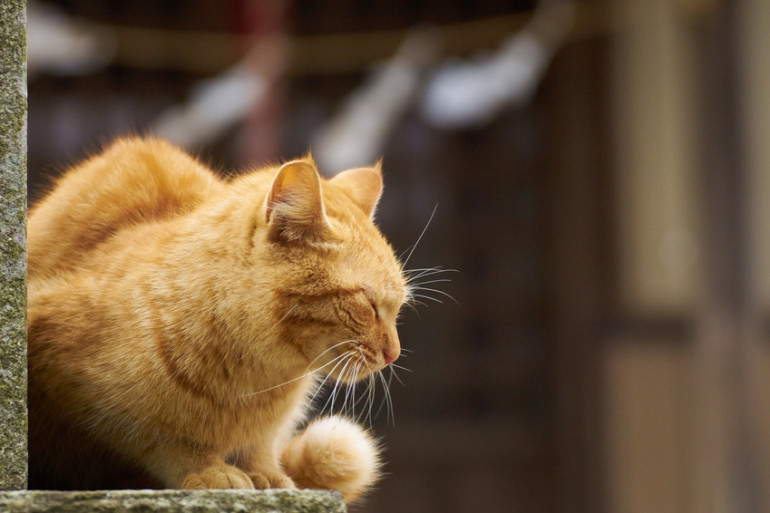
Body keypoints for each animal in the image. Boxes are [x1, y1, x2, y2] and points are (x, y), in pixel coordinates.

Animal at [27, 135, 404, 500]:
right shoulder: (66, 377)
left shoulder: (266, 429)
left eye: (398, 307)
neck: (256, 379)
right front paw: (207, 468)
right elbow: (162, 437)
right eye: (369, 304)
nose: (394, 354)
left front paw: (265, 472)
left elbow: (260, 445)